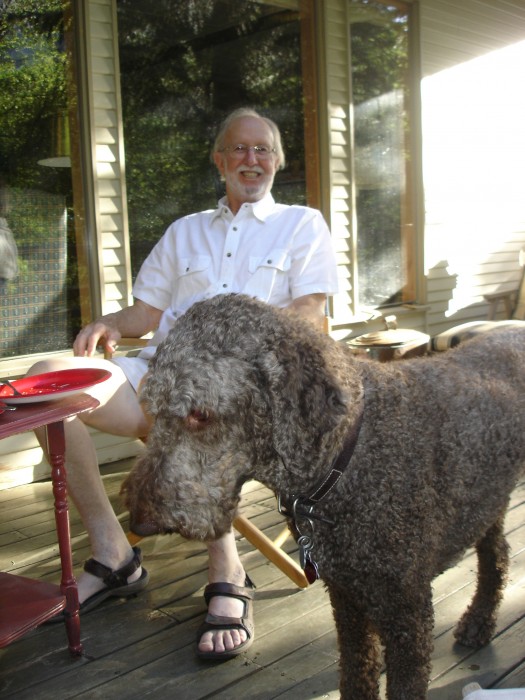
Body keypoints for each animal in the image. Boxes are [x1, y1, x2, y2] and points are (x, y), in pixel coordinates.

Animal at [121, 292, 524, 696]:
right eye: (152, 410)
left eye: (200, 414)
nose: (139, 521)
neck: (346, 455)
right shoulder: (346, 596)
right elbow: (357, 671)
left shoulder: (406, 613)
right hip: (485, 502)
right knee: (496, 554)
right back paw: (479, 622)